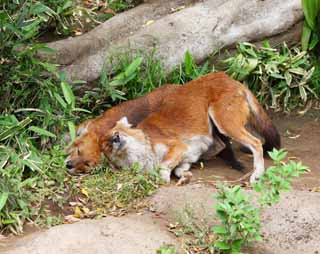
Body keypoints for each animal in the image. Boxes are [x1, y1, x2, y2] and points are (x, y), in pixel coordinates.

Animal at [103, 72, 280, 184]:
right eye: (107, 146)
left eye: (116, 133)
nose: (115, 138)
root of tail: (230, 79)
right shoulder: (187, 157)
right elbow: (177, 169)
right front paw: (184, 176)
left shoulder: (178, 146)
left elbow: (163, 166)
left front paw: (164, 178)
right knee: (224, 144)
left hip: (224, 122)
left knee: (256, 143)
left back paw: (257, 174)